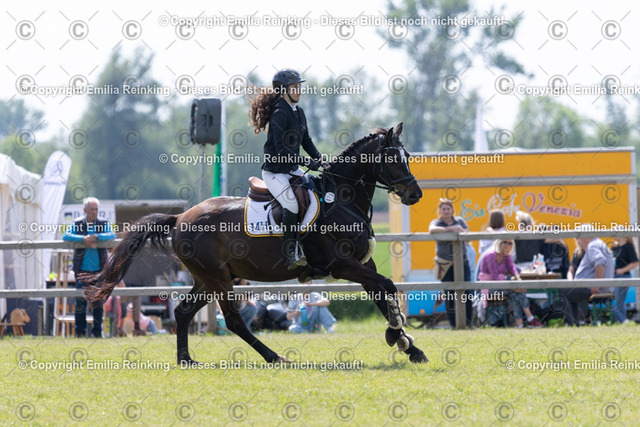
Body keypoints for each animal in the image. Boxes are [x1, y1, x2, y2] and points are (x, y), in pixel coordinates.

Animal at [86, 123, 428, 365]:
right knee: (234, 320)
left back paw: (186, 359)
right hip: (219, 279)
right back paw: (275, 357)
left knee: (183, 312)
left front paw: (408, 345)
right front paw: (396, 333)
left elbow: (382, 292)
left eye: (408, 157)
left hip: (207, 279)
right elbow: (388, 286)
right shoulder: (341, 265)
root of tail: (181, 216)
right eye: (392, 158)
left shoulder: (363, 263)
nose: (415, 195)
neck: (342, 198)